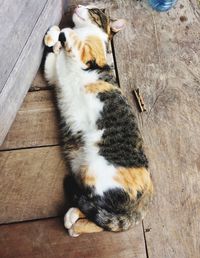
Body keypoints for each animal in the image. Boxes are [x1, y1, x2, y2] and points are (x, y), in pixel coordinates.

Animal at [43, 4, 153, 238]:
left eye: (94, 10)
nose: (77, 5)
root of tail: (149, 194)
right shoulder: (52, 75)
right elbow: (51, 56)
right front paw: (53, 37)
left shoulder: (88, 53)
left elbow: (74, 39)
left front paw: (62, 34)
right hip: (88, 176)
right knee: (97, 212)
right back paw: (72, 218)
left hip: (97, 175)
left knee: (101, 217)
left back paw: (72, 223)